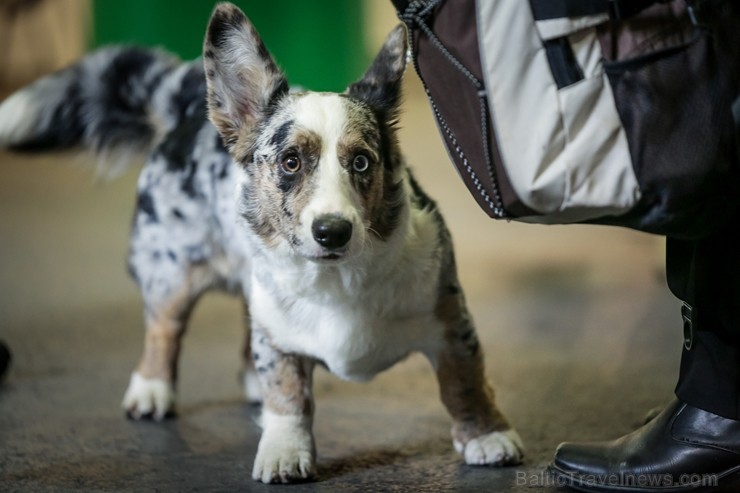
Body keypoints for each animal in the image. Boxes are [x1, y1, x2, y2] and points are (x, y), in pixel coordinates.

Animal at [0, 1, 524, 482]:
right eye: (291, 162)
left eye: (361, 162)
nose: (332, 231)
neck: (336, 279)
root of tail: (186, 111)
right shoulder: (278, 337)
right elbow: (288, 397)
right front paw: (284, 453)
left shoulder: (449, 320)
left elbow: (464, 383)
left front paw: (488, 436)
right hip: (173, 274)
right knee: (164, 327)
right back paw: (151, 389)